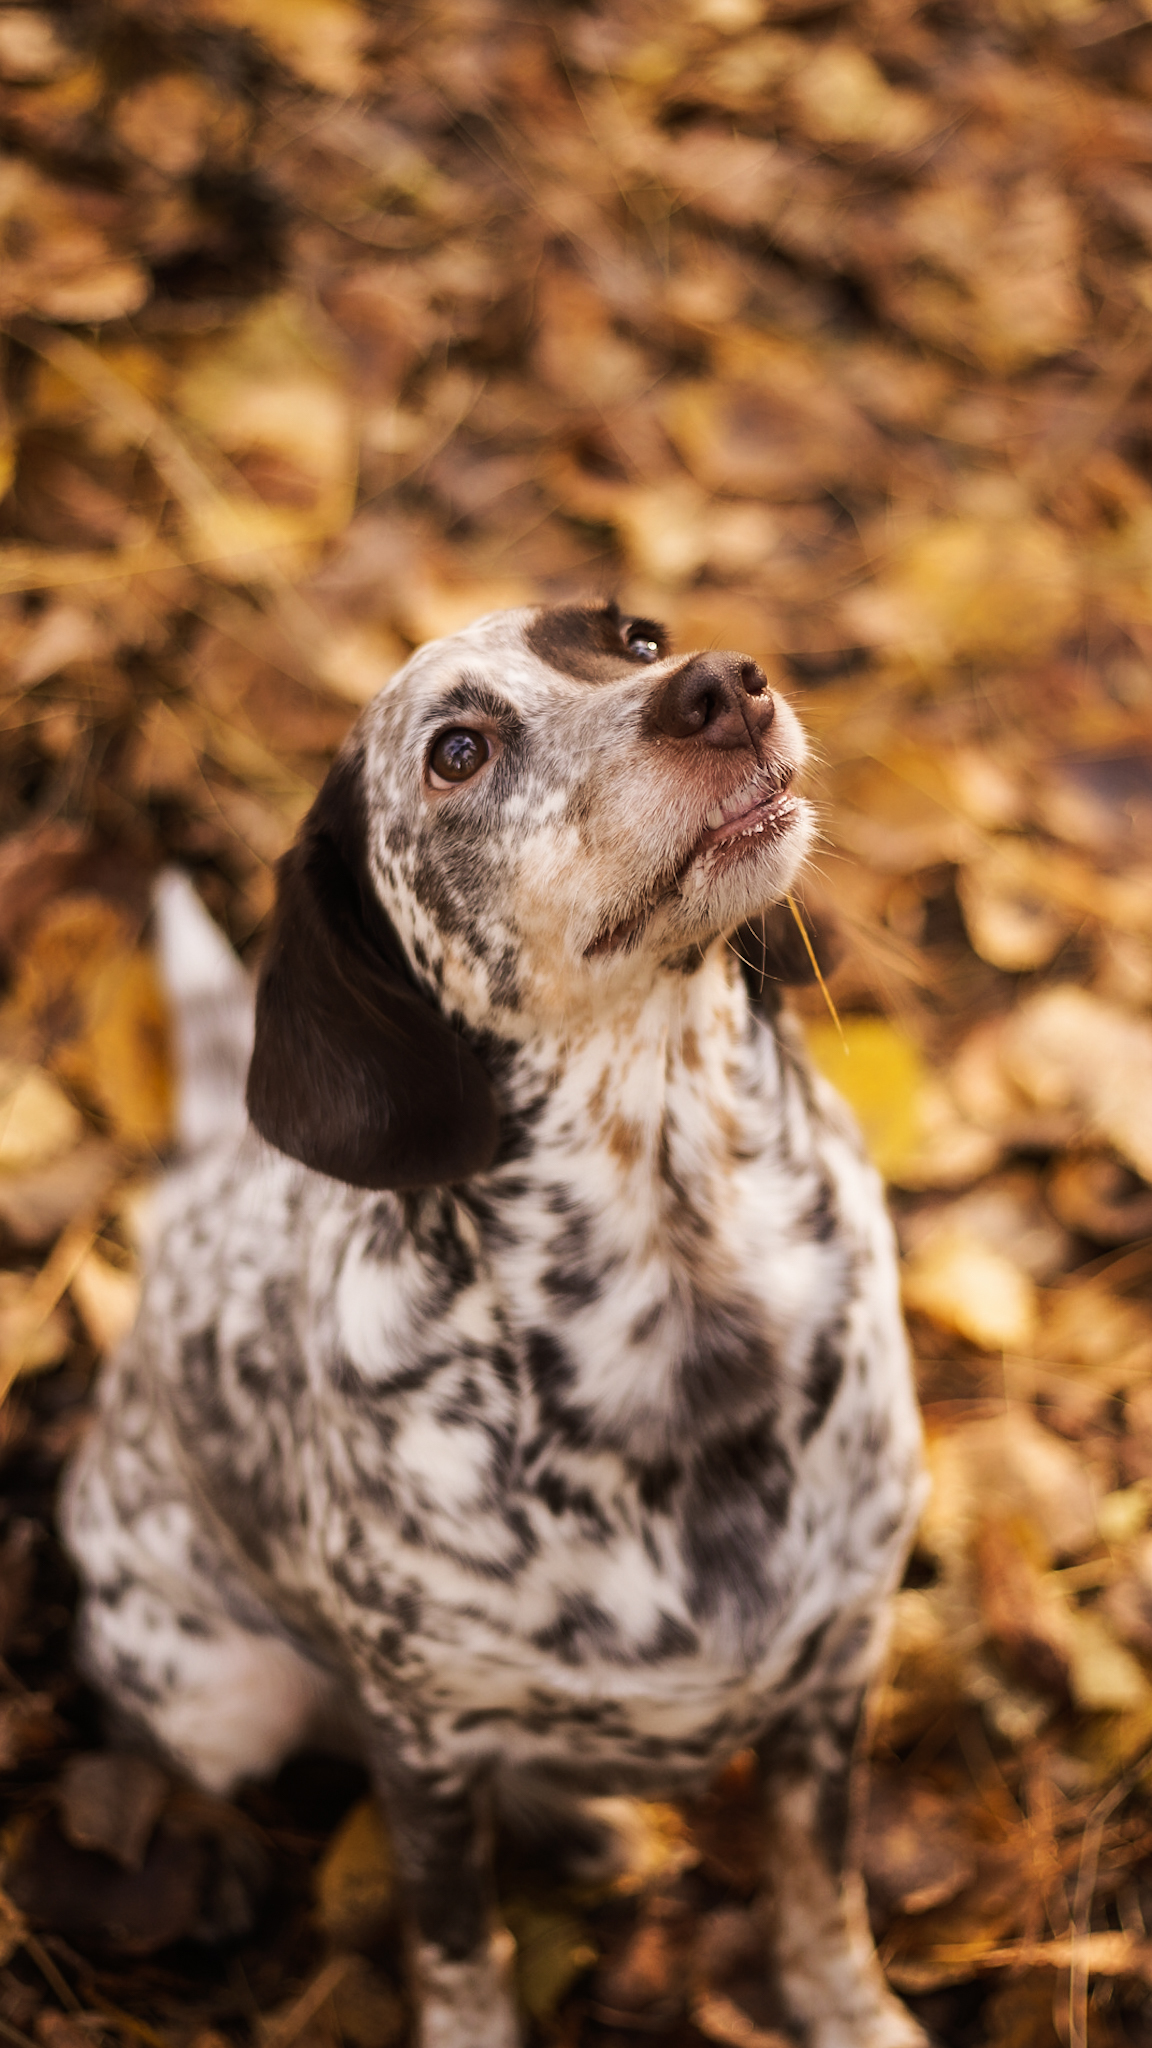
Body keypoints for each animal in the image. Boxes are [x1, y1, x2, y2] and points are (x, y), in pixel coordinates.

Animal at [60, 602, 922, 2048]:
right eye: (456, 750)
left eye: (635, 637)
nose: (723, 685)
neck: (681, 1293)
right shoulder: (425, 1740)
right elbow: (459, 1944)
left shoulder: (839, 1672)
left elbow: (823, 1892)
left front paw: (850, 2013)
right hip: (222, 1697)